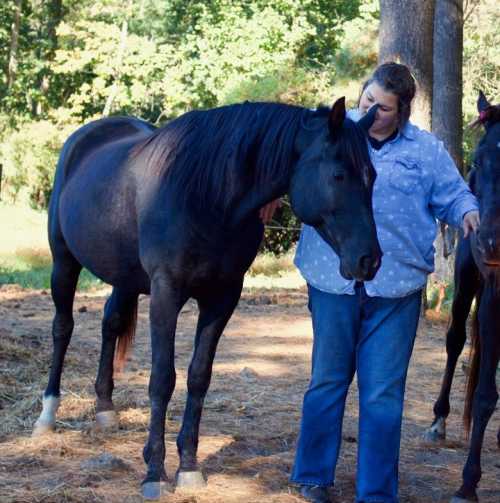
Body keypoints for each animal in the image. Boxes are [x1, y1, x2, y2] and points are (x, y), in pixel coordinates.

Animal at [33, 96, 380, 498]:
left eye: (372, 176)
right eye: (338, 175)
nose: (369, 260)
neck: (210, 198)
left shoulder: (223, 298)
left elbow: (199, 377)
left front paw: (188, 466)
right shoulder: (166, 294)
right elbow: (162, 379)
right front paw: (154, 472)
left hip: (124, 277)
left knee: (111, 322)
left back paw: (105, 407)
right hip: (64, 262)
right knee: (63, 328)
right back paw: (47, 414)